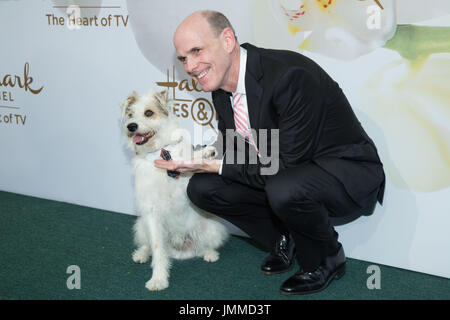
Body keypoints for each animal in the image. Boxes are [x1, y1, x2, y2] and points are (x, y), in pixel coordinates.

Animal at [120, 89, 229, 290]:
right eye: (130, 114)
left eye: (148, 113)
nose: (131, 126)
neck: (160, 153)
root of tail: (179, 249)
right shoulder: (152, 212)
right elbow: (157, 249)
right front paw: (158, 279)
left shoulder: (187, 182)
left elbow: (188, 162)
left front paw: (204, 153)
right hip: (141, 226)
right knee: (150, 246)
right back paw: (141, 254)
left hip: (212, 228)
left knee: (204, 246)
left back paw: (210, 253)